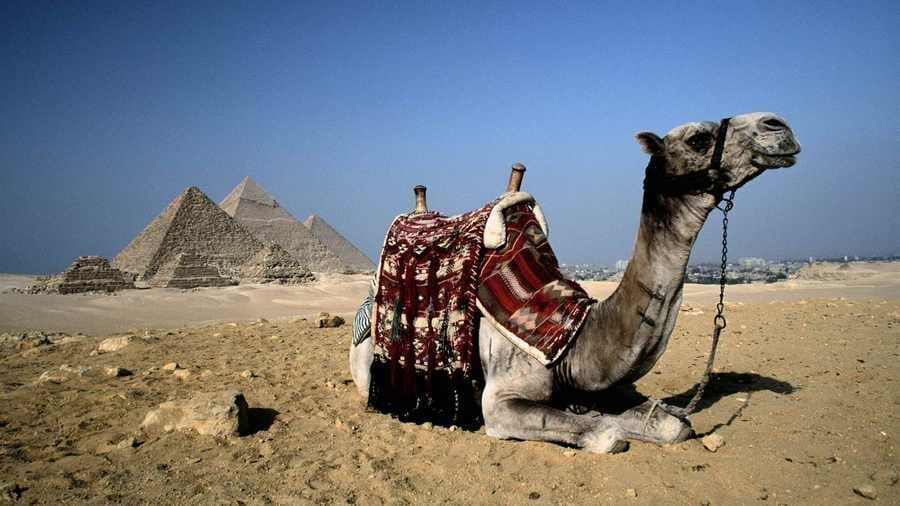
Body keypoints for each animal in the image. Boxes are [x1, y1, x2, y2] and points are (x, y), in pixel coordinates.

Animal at [350, 112, 800, 453]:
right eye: (698, 138)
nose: (778, 125)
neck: (573, 335)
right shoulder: (499, 402)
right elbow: (607, 433)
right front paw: (596, 420)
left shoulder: (609, 386)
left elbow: (673, 425)